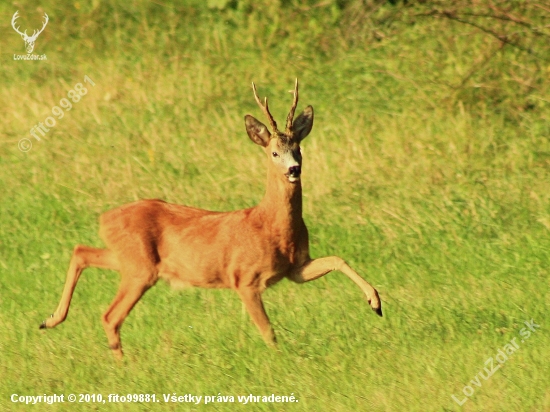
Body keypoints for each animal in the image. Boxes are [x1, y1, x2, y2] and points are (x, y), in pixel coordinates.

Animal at [40, 79, 384, 358]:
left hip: (131, 260)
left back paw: (50, 320)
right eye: (274, 152)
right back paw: (124, 365)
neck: (271, 225)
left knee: (82, 253)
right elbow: (268, 331)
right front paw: (281, 362)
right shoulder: (245, 278)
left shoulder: (294, 268)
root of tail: (104, 218)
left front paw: (376, 303)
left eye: (298, 149)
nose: (293, 170)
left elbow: (337, 259)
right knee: (110, 315)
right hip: (140, 269)